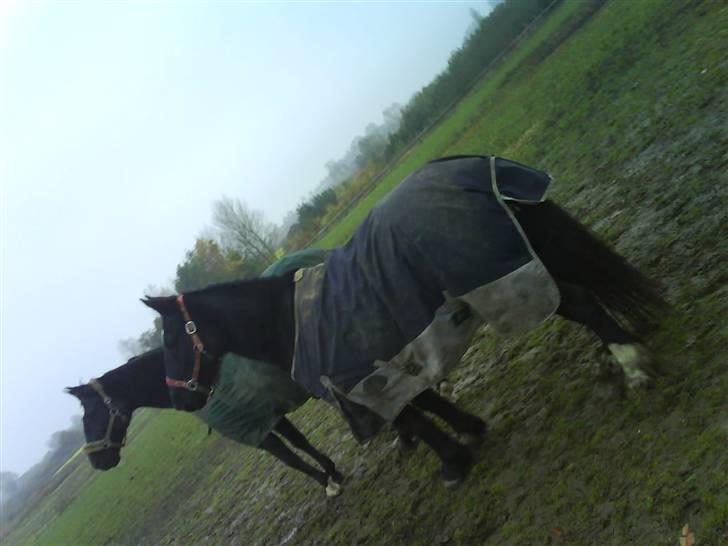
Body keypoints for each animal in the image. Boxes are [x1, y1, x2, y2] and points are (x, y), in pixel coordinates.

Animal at [66, 348, 347, 496]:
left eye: (89, 415)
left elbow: (290, 458)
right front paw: (332, 471)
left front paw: (327, 483)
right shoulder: (268, 416)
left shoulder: (252, 429)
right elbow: (299, 442)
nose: (97, 462)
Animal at [143, 155, 666, 485]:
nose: (179, 398)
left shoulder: (358, 381)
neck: (291, 321)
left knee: (578, 300)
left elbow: (415, 416)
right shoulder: (382, 369)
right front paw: (469, 430)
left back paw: (631, 364)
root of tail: (465, 170)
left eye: (169, 340)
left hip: (499, 279)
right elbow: (425, 403)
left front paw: (454, 462)